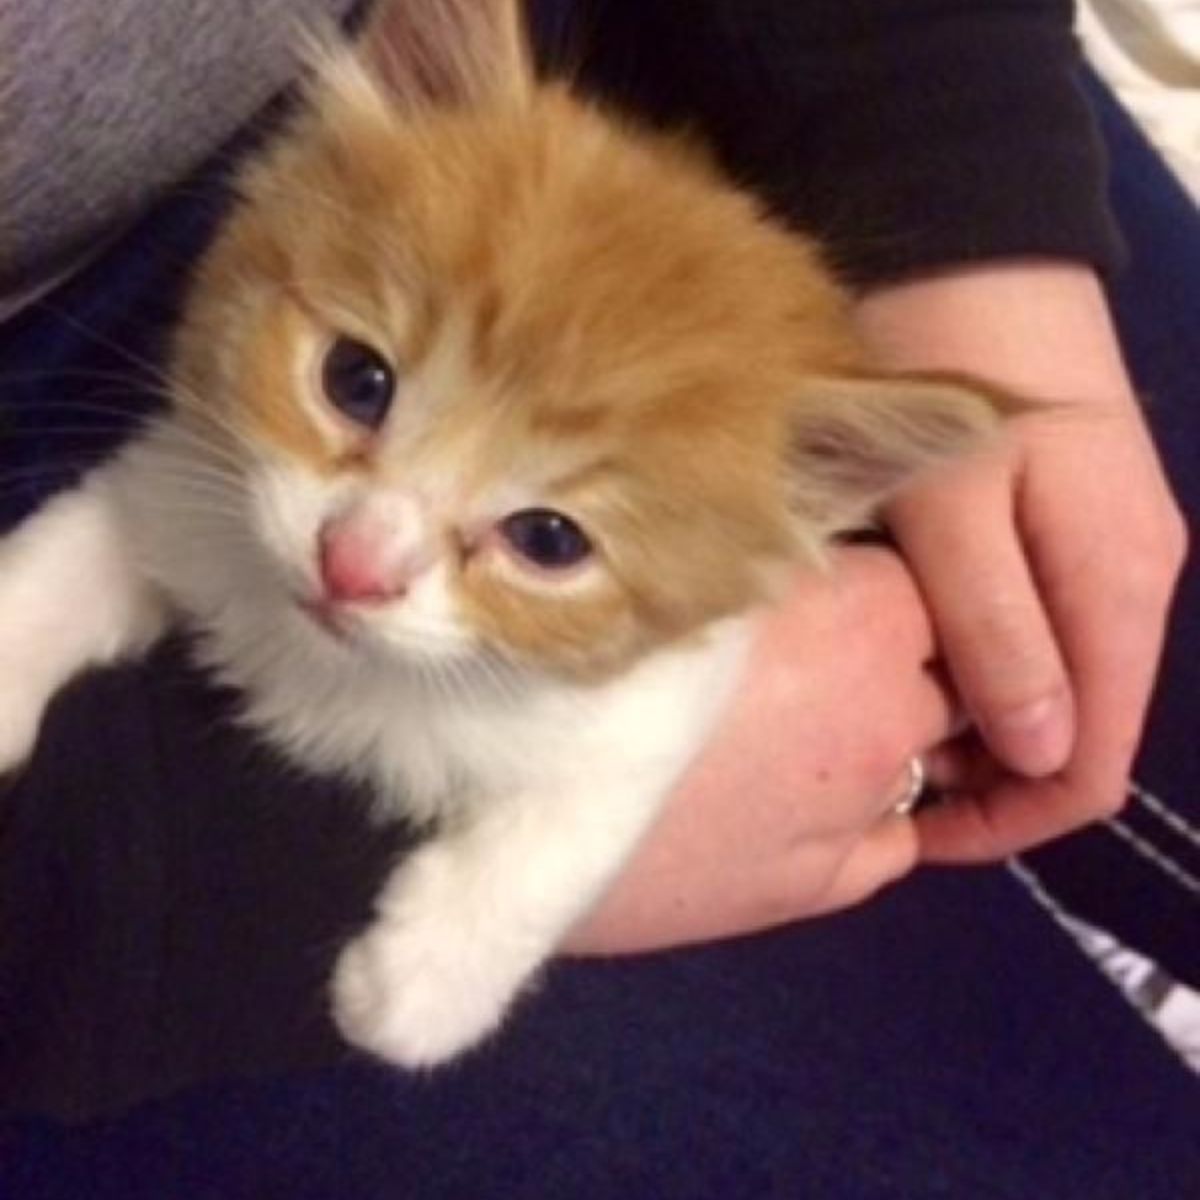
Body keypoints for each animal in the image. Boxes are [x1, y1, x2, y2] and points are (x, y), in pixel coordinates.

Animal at [0, 0, 998, 1070]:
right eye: (356, 380)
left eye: (549, 541)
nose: (353, 566)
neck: (320, 660)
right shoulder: (184, 480)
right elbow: (63, 563)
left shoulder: (671, 693)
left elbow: (575, 824)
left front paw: (426, 979)